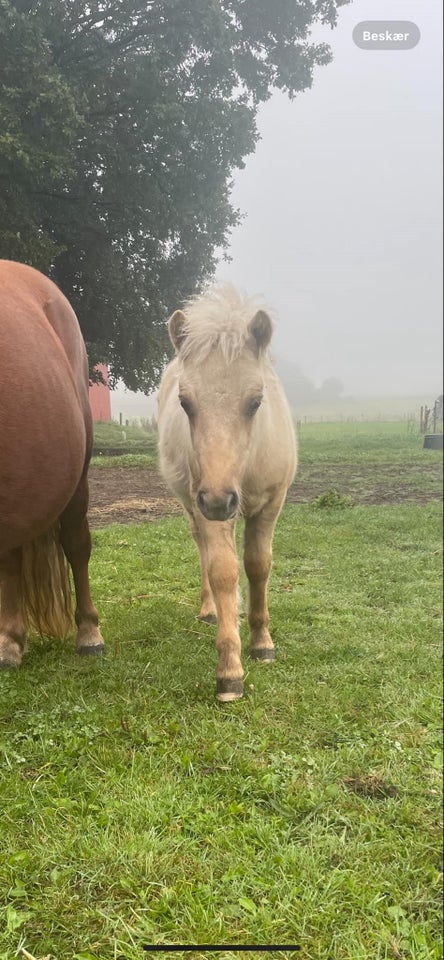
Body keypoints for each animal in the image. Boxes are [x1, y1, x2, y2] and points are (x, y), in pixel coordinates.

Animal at [158, 284, 296, 696]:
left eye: (256, 401)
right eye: (185, 402)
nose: (219, 501)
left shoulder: (270, 504)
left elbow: (258, 565)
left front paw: (262, 643)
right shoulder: (209, 505)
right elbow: (222, 570)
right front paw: (230, 670)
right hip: (193, 505)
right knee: (203, 550)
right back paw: (209, 610)